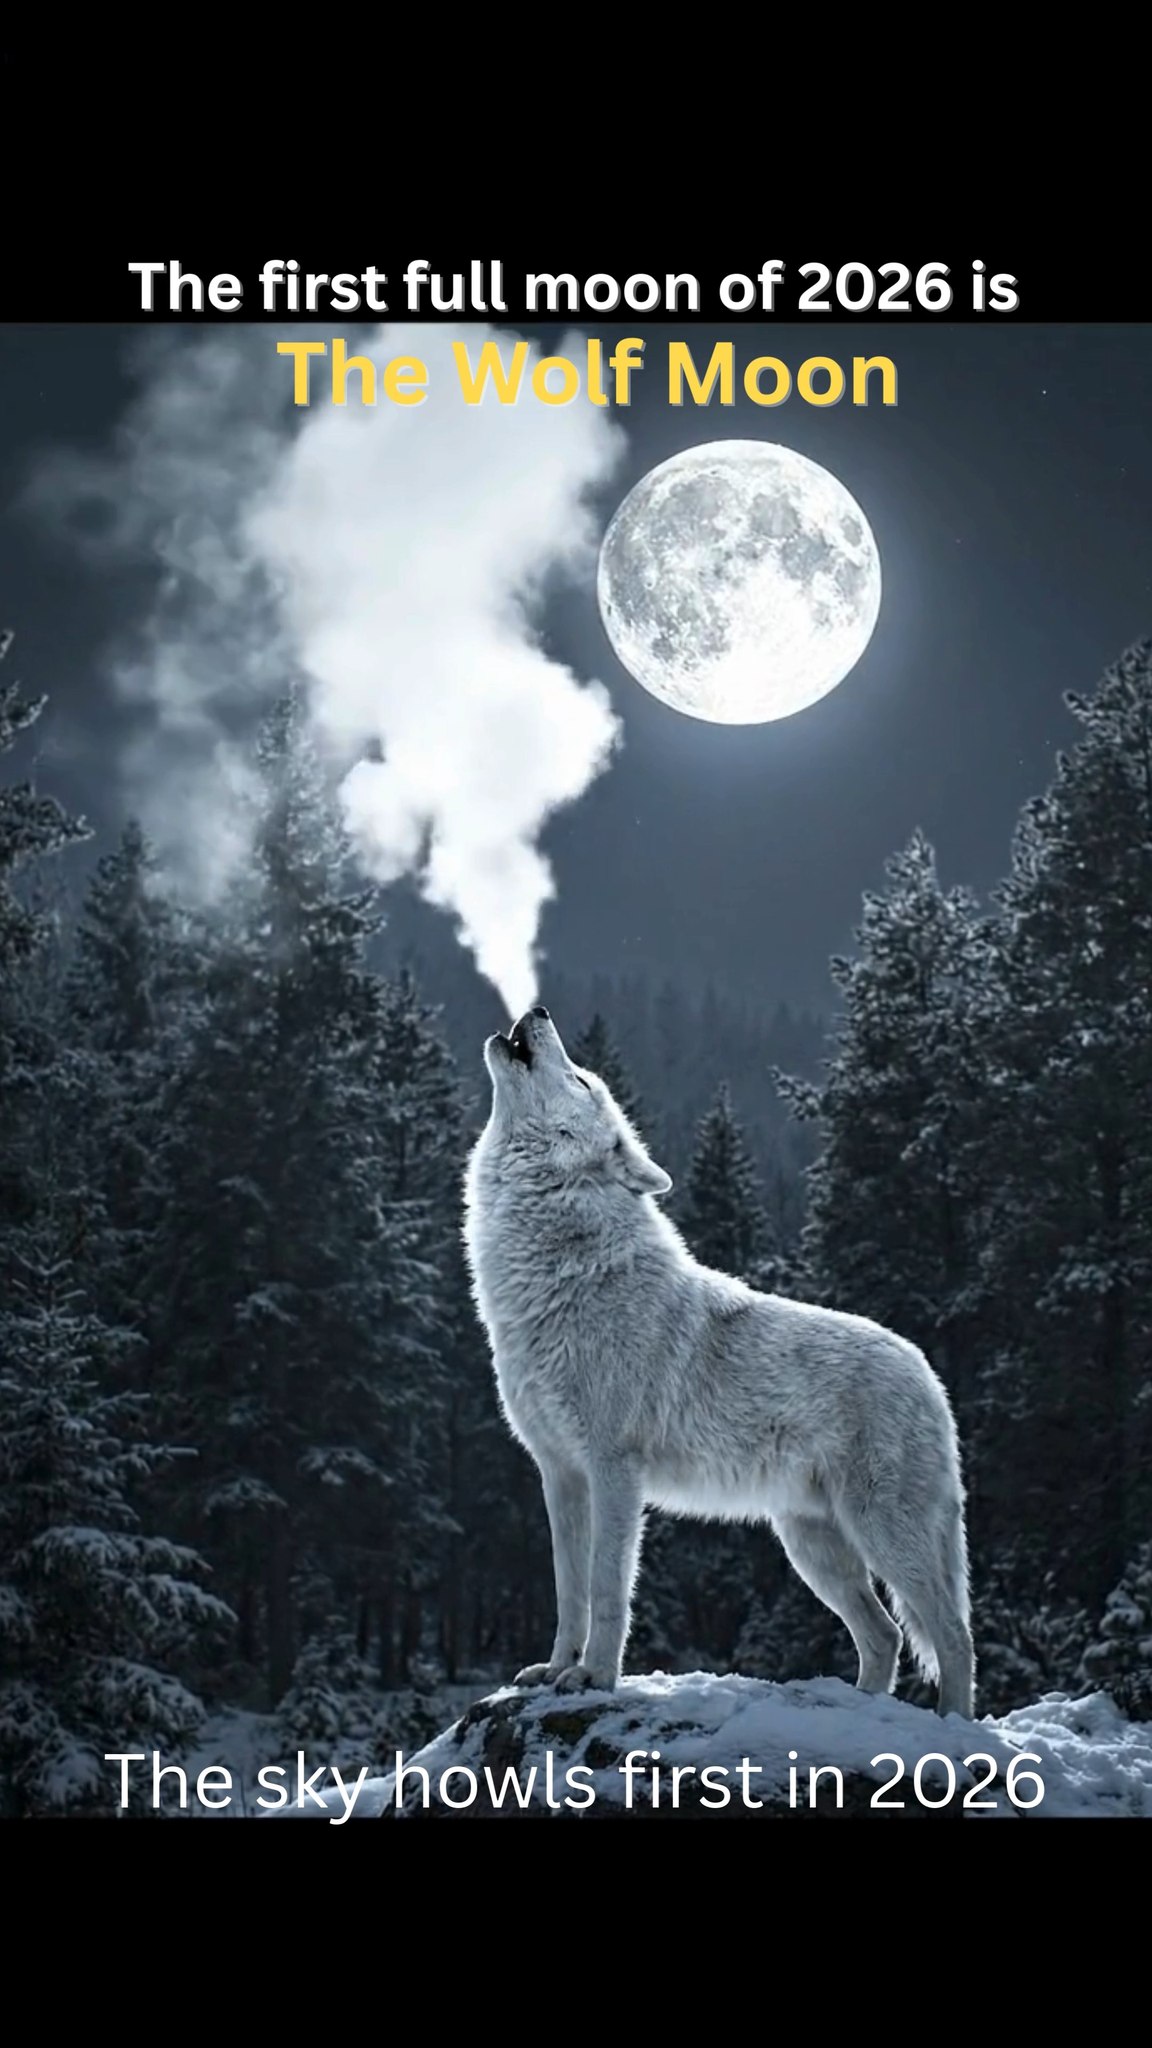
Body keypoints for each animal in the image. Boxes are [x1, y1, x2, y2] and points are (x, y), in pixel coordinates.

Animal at [463, 1007, 975, 1717]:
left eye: (582, 1079)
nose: (538, 1012)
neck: (561, 1268)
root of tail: (926, 1370)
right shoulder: (559, 1473)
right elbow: (569, 1594)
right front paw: (556, 1669)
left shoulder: (614, 1470)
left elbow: (607, 1589)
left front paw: (594, 1678)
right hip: (812, 1546)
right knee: (887, 1636)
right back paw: (855, 1710)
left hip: (880, 1532)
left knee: (951, 1635)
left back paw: (954, 1731)